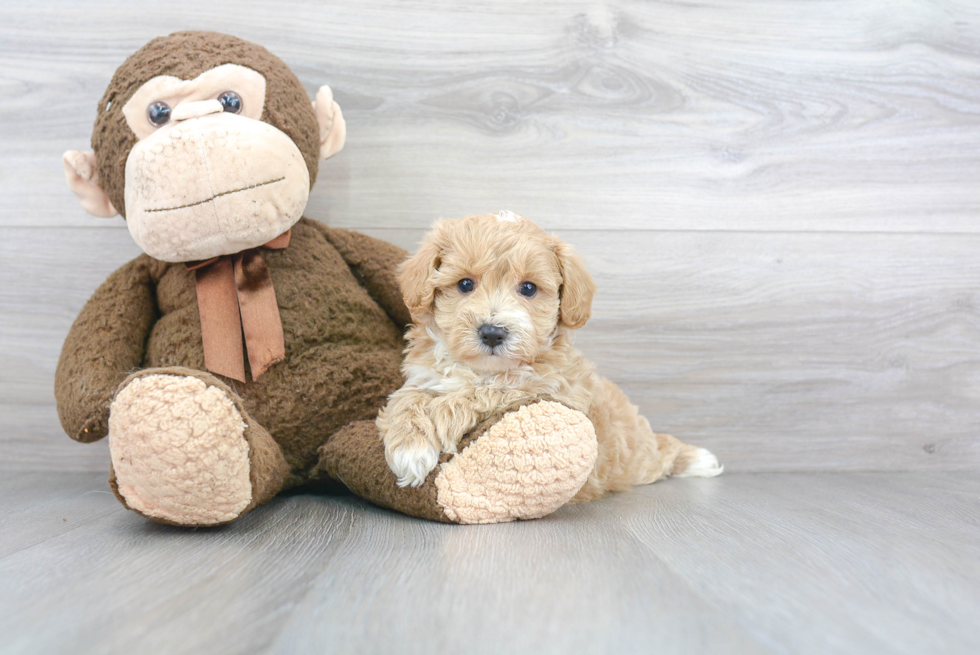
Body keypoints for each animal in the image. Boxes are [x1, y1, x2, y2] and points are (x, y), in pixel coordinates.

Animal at [378, 213, 724, 500]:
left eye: (528, 288)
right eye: (465, 284)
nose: (492, 333)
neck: (483, 368)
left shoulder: (546, 389)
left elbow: (484, 392)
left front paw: (438, 421)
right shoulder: (423, 377)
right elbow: (407, 397)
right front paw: (409, 447)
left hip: (638, 456)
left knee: (660, 455)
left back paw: (697, 459)